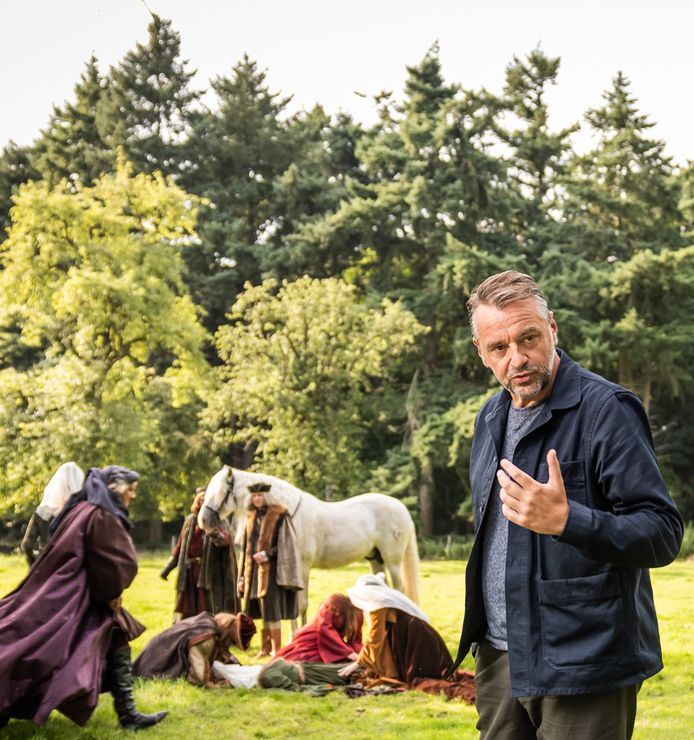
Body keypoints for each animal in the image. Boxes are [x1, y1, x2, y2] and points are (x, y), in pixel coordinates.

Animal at [198, 468, 422, 624]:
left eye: (224, 491)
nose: (204, 521)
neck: (289, 512)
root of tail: (400, 507)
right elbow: (294, 608)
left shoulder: (302, 568)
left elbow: (301, 605)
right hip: (375, 560)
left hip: (393, 561)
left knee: (399, 589)